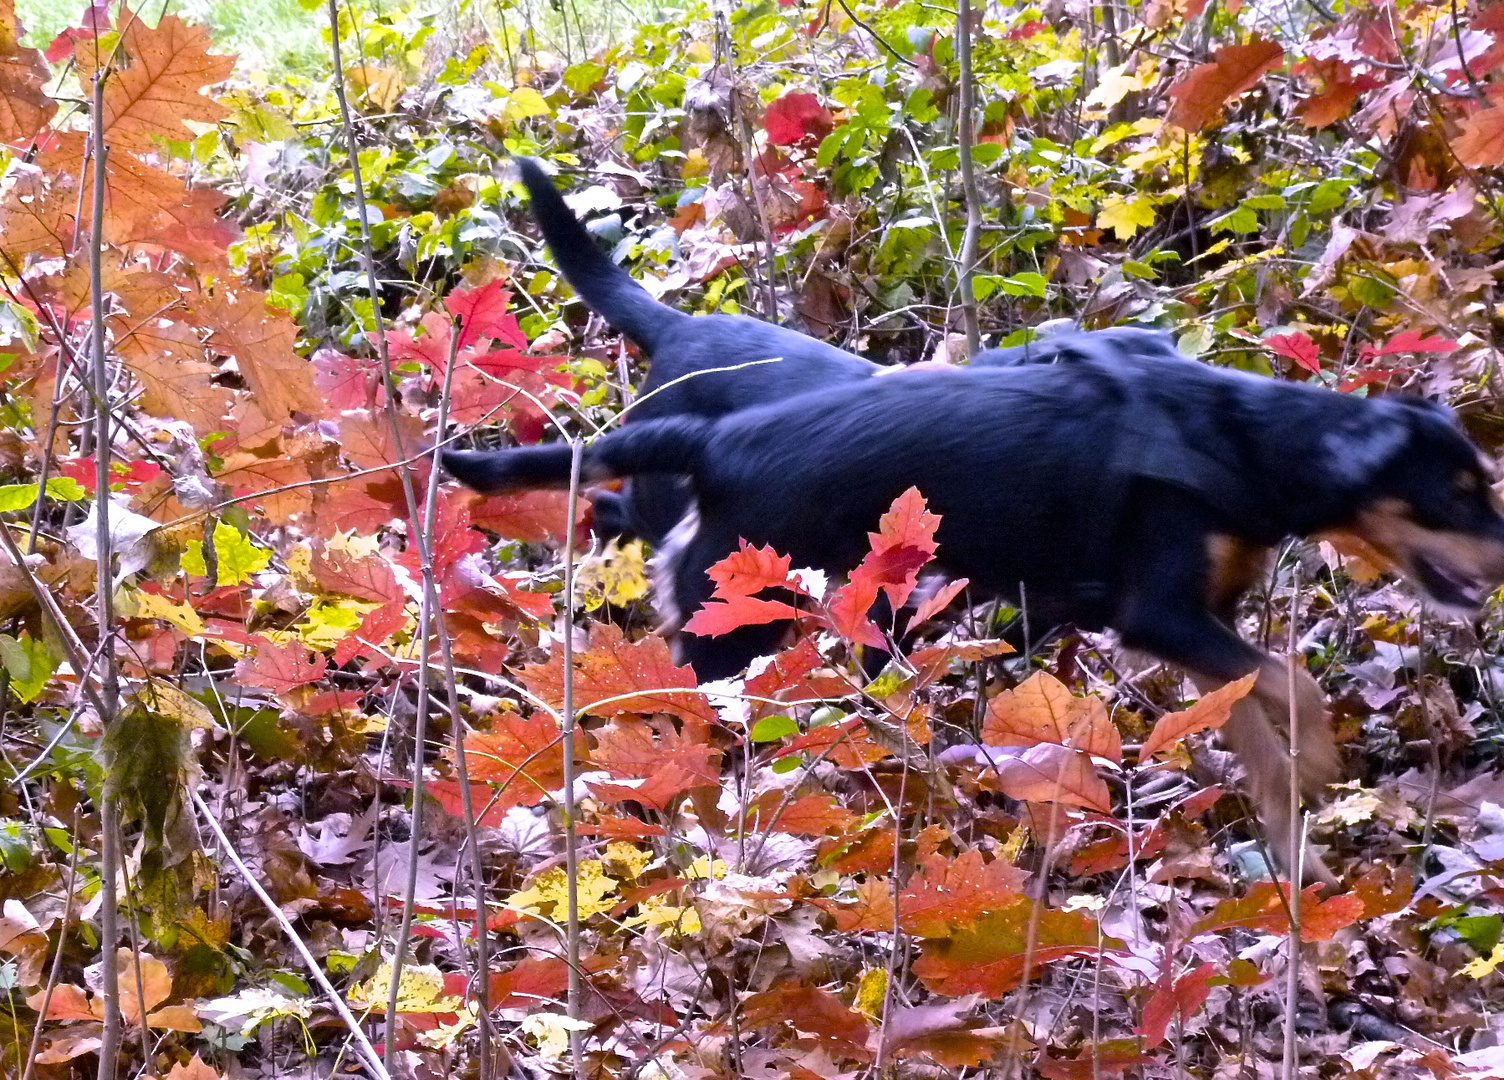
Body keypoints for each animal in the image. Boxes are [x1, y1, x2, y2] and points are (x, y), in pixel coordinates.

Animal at [439, 350, 1504, 884]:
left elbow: (1256, 720)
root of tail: (711, 439)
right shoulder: (1158, 615)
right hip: (736, 623)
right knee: (691, 724)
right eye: (1456, 492)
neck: (1247, 439)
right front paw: (1322, 767)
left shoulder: (1204, 625)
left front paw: (1293, 845)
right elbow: (1294, 687)